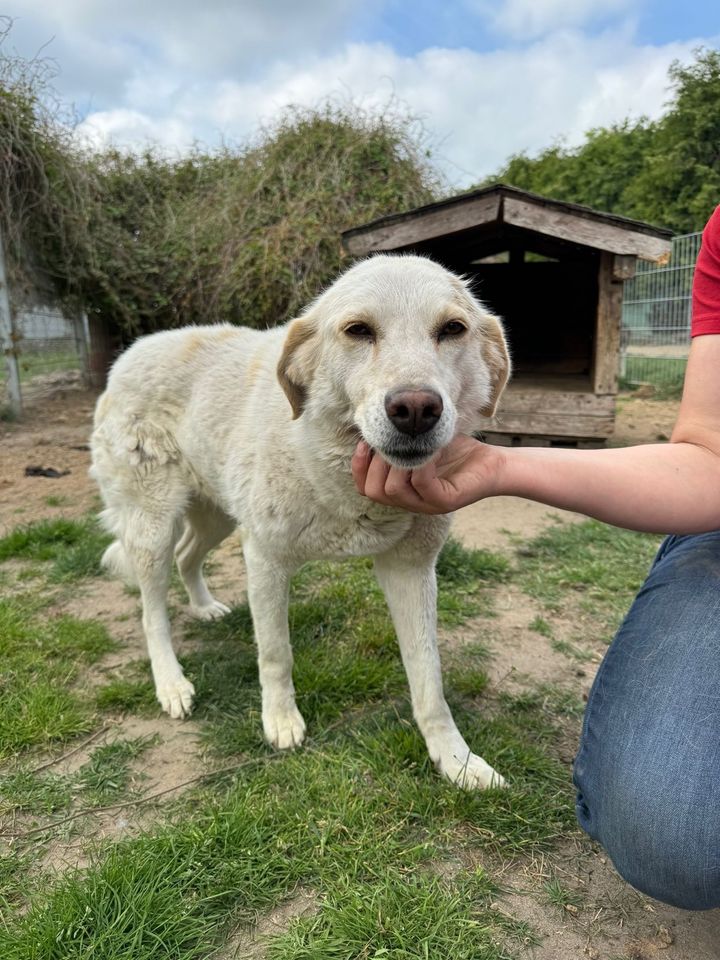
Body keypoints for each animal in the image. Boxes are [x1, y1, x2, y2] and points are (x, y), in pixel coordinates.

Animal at [91, 255, 512, 788]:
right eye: (358, 330)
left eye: (452, 329)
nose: (416, 409)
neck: (339, 476)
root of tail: (130, 353)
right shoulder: (265, 559)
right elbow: (275, 654)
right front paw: (280, 721)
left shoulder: (411, 570)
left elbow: (429, 680)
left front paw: (456, 760)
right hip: (153, 527)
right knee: (151, 613)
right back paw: (171, 684)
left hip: (217, 516)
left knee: (189, 557)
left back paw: (204, 607)